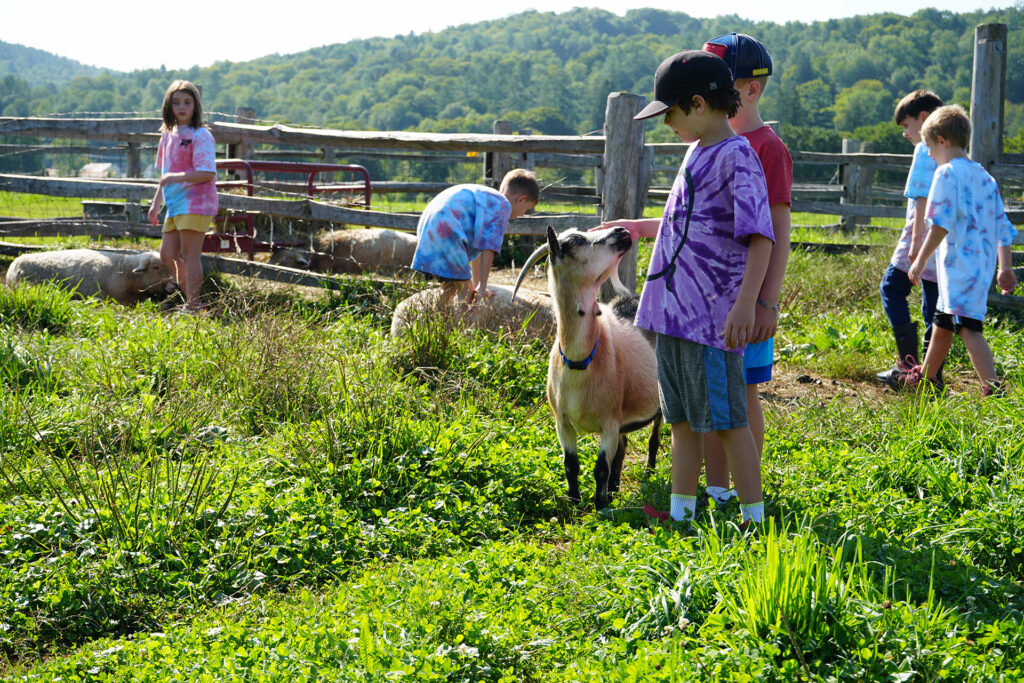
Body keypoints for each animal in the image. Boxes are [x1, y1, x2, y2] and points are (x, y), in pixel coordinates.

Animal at [512, 227, 663, 509]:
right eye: (573, 241)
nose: (622, 230)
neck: (579, 363)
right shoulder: (562, 422)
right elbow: (571, 464)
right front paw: (575, 501)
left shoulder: (609, 421)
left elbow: (600, 467)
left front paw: (599, 506)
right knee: (623, 449)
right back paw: (615, 490)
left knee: (654, 440)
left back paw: (647, 476)